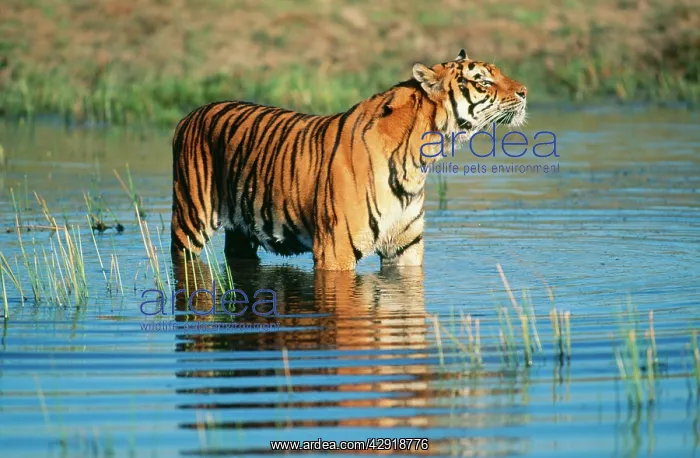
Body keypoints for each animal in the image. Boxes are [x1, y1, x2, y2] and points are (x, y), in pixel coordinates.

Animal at [170, 49, 527, 270]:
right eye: (483, 81)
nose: (524, 91)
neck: (419, 161)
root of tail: (190, 114)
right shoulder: (335, 250)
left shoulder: (405, 248)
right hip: (190, 220)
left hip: (243, 233)